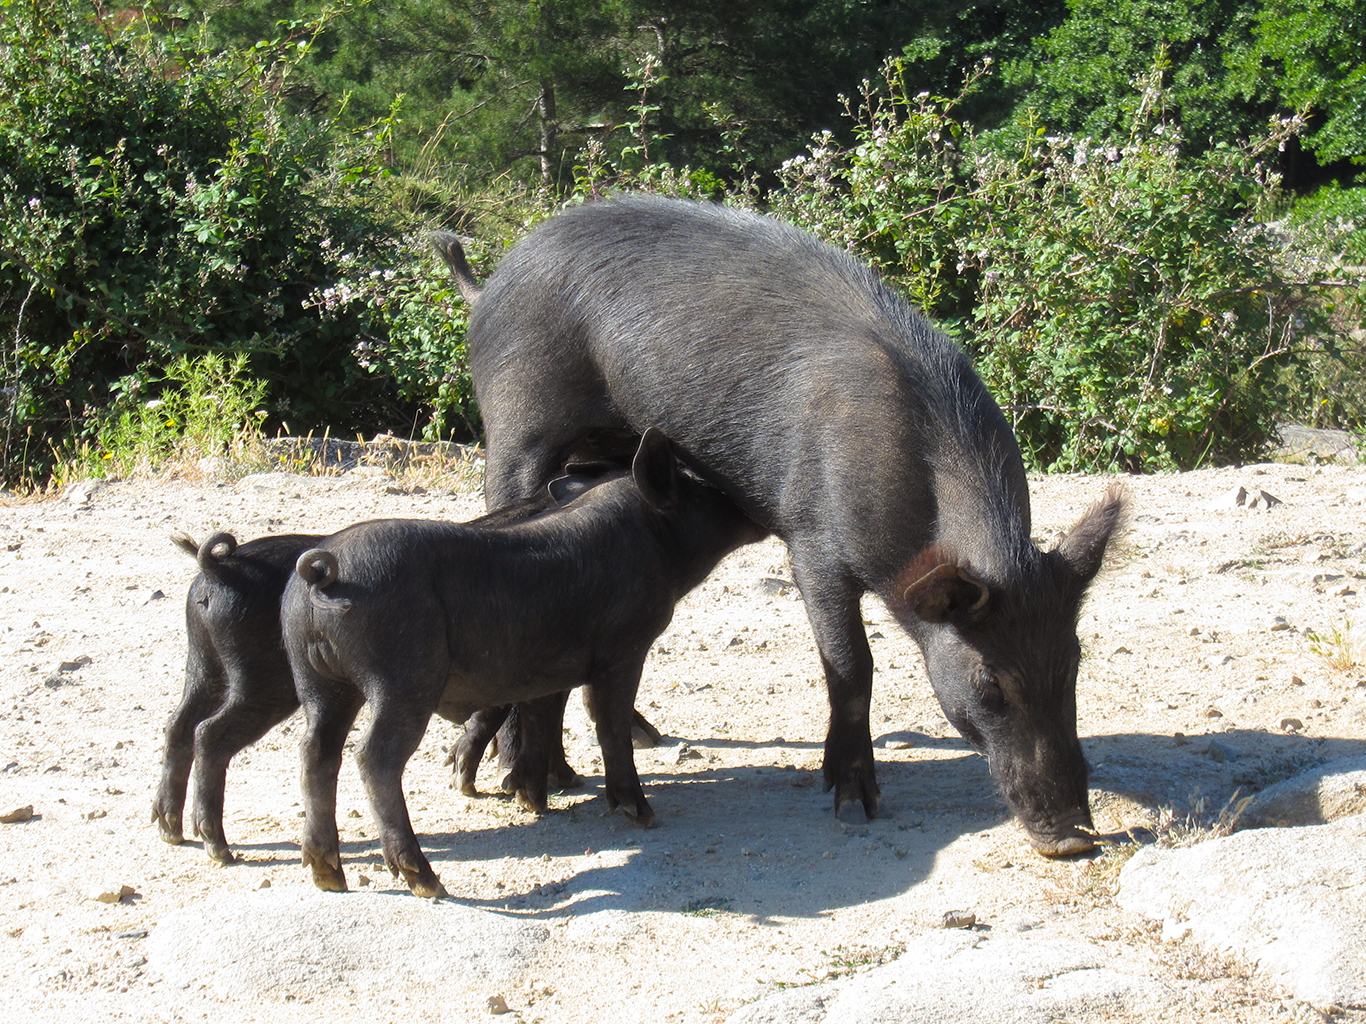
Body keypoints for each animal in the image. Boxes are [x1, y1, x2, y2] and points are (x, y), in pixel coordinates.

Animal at [434, 196, 1120, 851]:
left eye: (1074, 661)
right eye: (990, 683)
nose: (1073, 839)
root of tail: (488, 284)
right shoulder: (812, 543)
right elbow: (851, 666)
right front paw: (853, 805)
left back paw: (634, 741)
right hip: (516, 424)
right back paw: (525, 778)